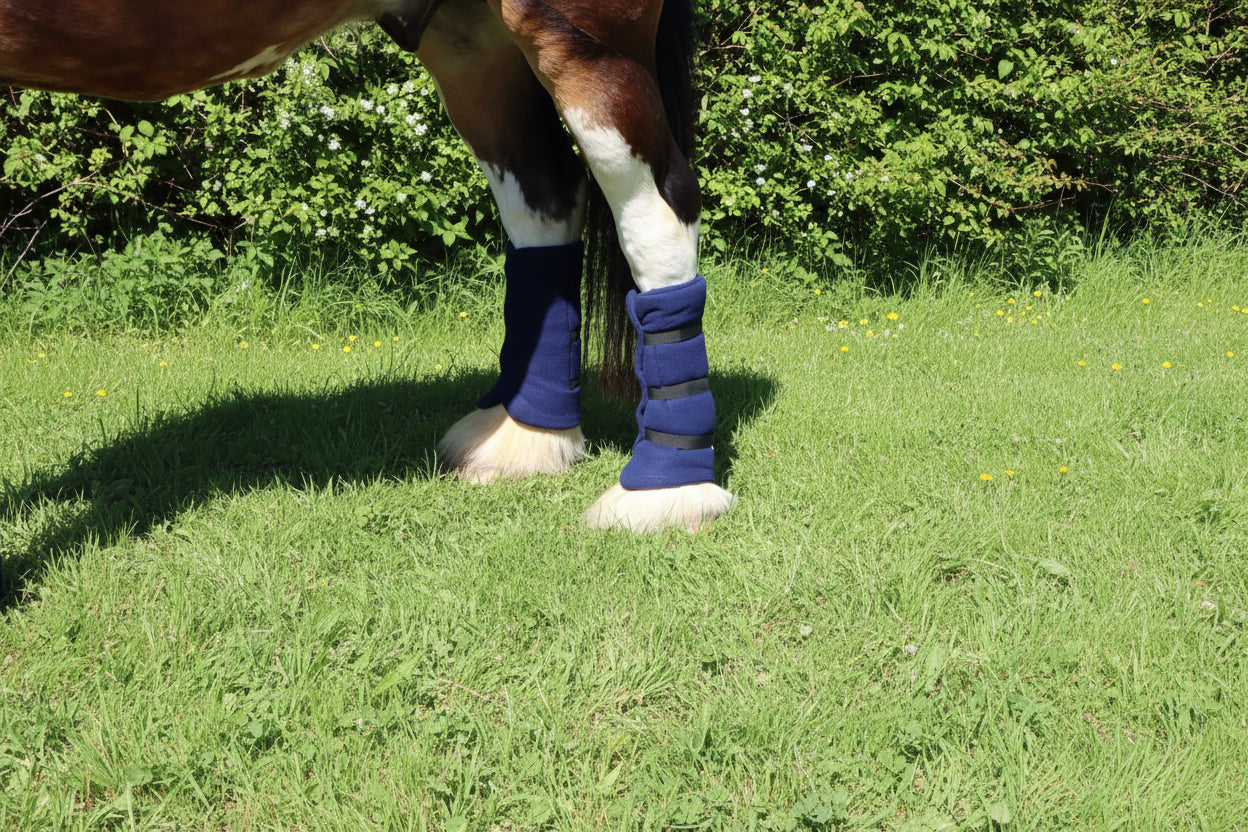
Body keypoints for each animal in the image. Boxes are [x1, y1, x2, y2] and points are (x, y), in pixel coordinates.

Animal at [0, 0, 735, 532]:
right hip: (472, 43)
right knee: (546, 200)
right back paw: (527, 437)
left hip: (585, 36)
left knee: (658, 212)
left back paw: (665, 492)